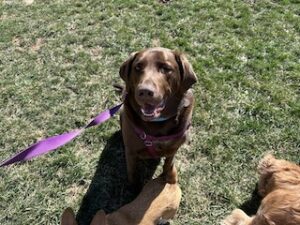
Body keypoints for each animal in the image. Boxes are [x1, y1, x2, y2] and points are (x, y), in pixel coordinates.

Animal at [119, 47, 197, 185]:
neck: (157, 124)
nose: (145, 92)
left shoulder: (174, 148)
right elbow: (132, 174)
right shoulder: (131, 152)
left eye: (166, 68)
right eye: (138, 67)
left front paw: (169, 176)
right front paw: (133, 188)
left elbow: (169, 163)